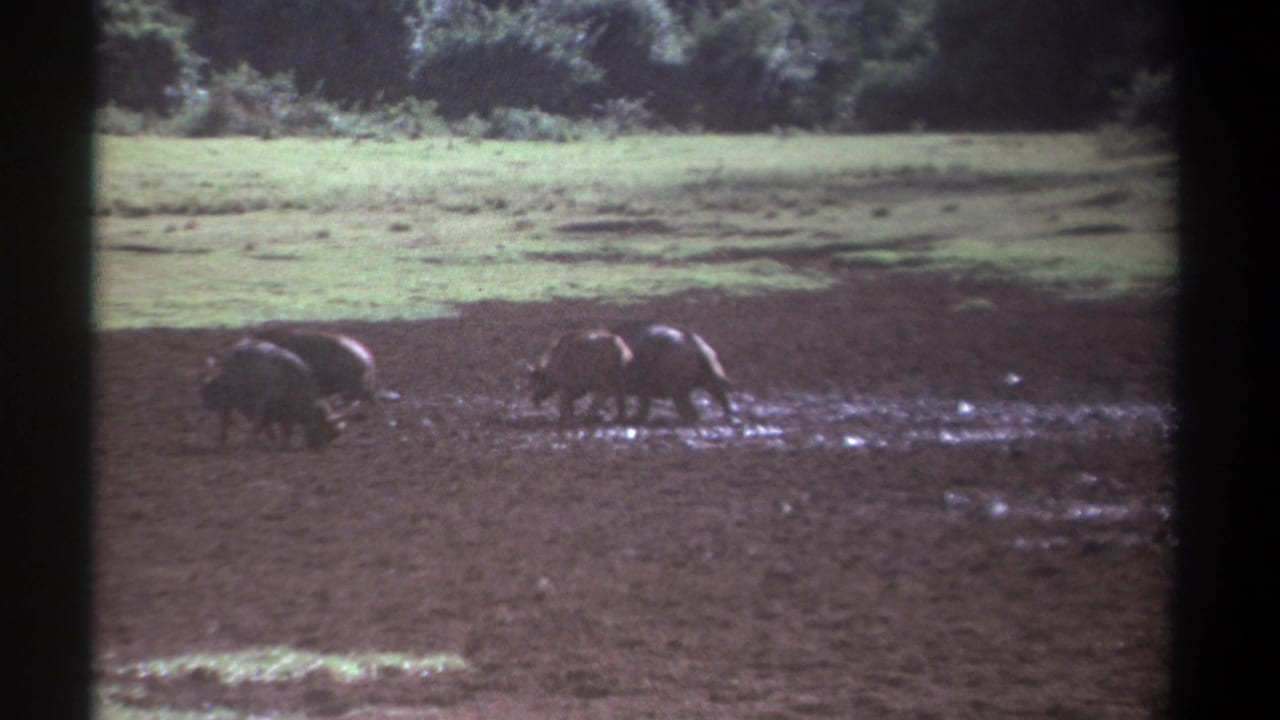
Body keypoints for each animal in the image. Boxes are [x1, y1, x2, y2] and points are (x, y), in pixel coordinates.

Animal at [201, 338, 342, 449]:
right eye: (323, 427)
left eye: (332, 435)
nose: (318, 446)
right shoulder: (264, 402)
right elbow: (258, 425)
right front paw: (251, 443)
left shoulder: (284, 412)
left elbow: (285, 428)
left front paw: (283, 444)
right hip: (229, 401)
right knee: (225, 417)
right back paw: (223, 440)